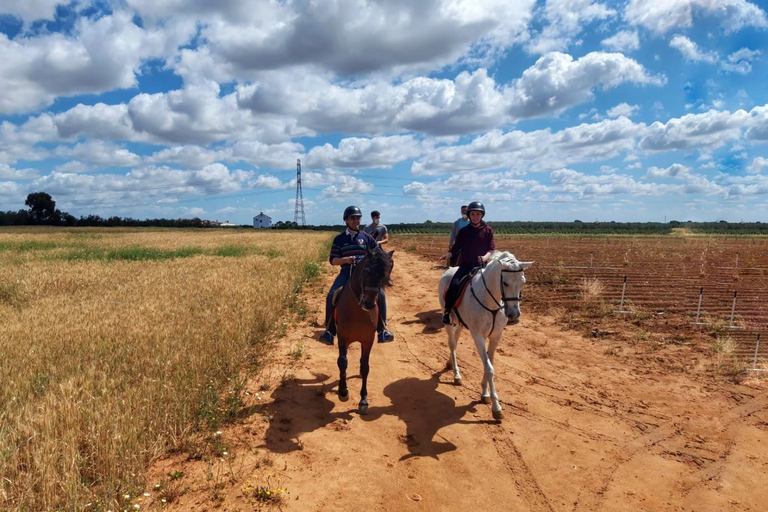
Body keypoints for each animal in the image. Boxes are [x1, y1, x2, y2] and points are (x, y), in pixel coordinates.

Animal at [336, 246, 396, 414]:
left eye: (385, 275)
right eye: (367, 271)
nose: (369, 304)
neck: (357, 311)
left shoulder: (368, 341)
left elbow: (365, 367)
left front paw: (363, 400)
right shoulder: (342, 338)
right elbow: (342, 362)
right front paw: (343, 392)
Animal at [436, 251, 532, 420]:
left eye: (523, 282)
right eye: (505, 283)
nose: (514, 315)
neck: (491, 301)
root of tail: (449, 270)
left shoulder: (496, 336)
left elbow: (489, 364)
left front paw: (485, 393)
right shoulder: (478, 337)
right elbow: (489, 368)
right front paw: (496, 407)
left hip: (461, 323)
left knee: (456, 338)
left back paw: (449, 363)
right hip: (447, 318)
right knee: (452, 343)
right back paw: (456, 375)